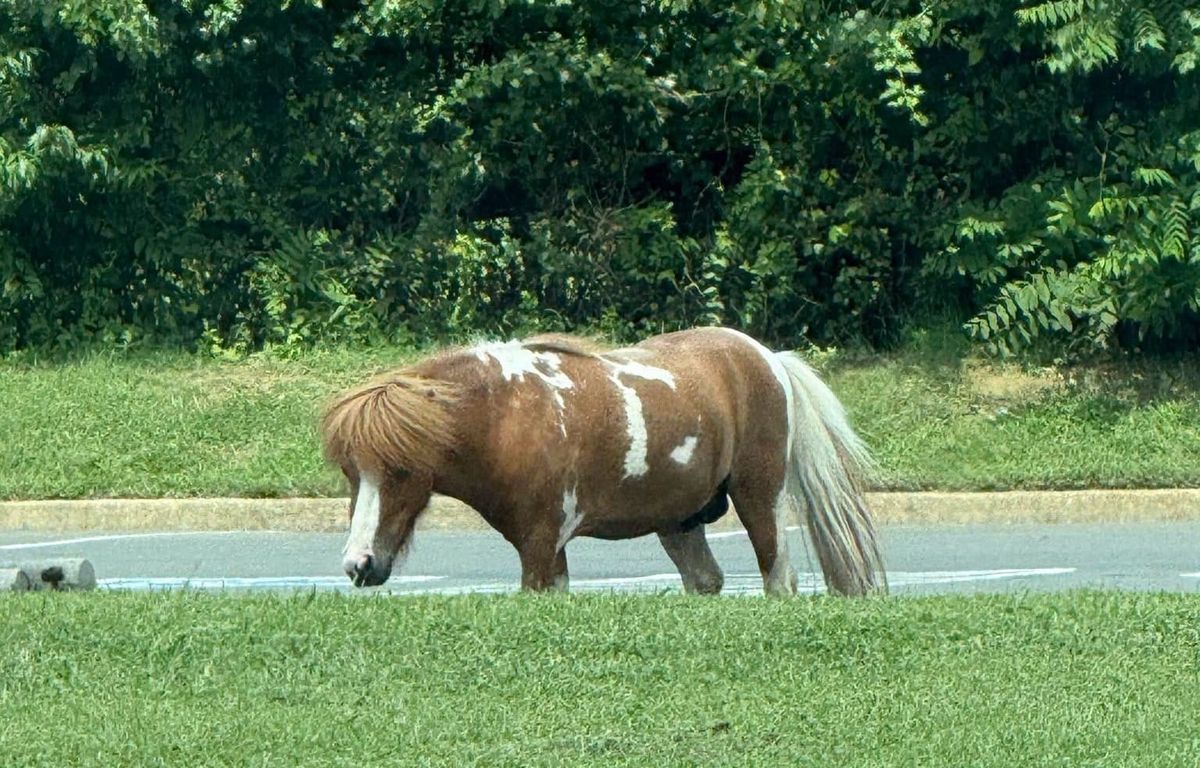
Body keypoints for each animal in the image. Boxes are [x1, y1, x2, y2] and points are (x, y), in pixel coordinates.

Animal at [320, 327, 886, 596]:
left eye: (399, 470)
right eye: (350, 472)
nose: (358, 564)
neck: (505, 414)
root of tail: (768, 358)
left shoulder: (539, 546)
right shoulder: (550, 552)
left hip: (759, 500)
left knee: (778, 580)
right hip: (680, 522)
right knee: (706, 581)